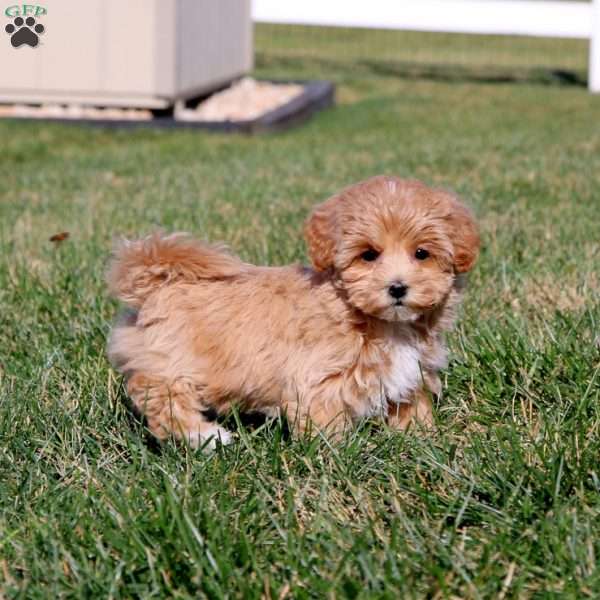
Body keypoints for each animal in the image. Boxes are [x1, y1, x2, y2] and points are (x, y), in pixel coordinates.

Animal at [108, 176, 480, 448]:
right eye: (369, 255)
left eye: (422, 253)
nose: (398, 288)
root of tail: (157, 281)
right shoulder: (319, 378)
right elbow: (325, 419)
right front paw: (336, 454)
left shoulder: (411, 371)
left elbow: (411, 404)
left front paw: (421, 438)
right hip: (172, 361)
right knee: (158, 395)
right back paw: (205, 436)